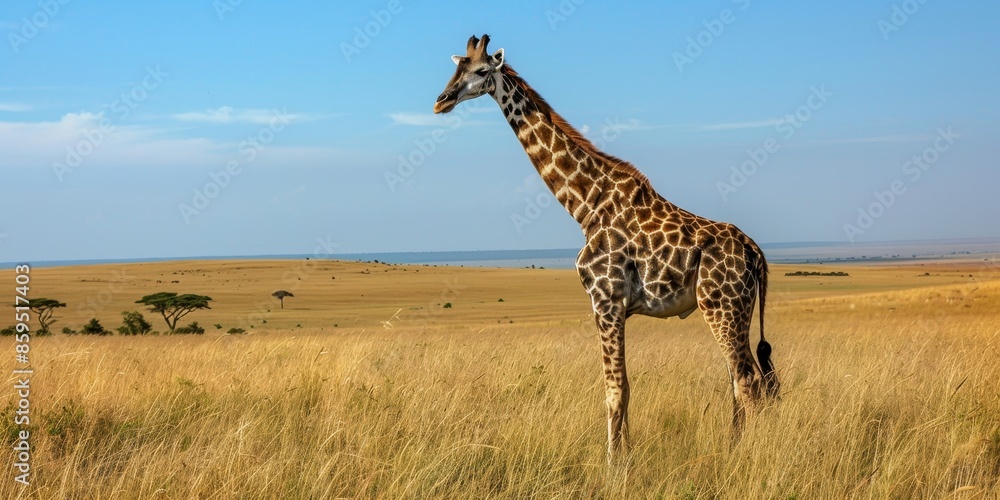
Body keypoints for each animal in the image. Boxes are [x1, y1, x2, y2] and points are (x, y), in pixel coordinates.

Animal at [433, 34, 779, 461]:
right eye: (455, 68)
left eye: (481, 71)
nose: (442, 100)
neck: (586, 206)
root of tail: (755, 253)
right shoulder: (615, 307)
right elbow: (625, 388)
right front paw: (625, 457)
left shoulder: (605, 300)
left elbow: (614, 391)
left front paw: (612, 465)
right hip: (733, 311)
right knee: (743, 381)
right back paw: (731, 450)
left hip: (723, 307)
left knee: (749, 383)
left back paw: (748, 457)